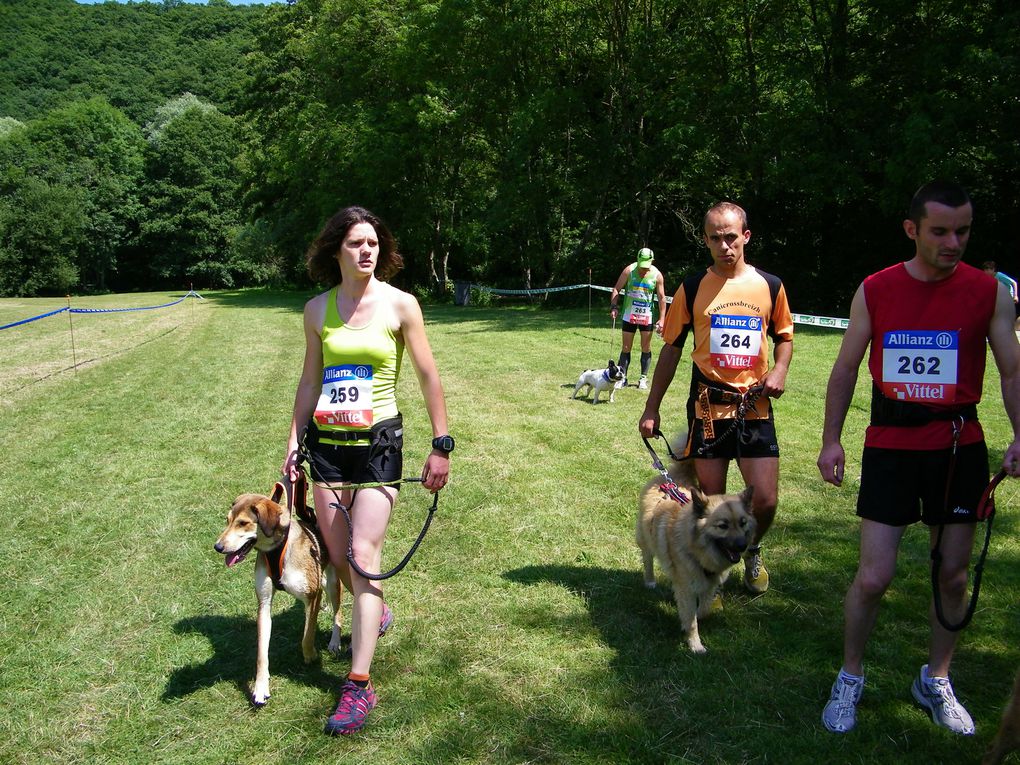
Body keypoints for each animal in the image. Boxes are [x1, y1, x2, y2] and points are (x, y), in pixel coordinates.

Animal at [215, 485, 342, 705]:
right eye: (227, 520)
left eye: (243, 523)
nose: (218, 547)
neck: (276, 549)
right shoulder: (264, 603)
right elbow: (261, 654)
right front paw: (260, 687)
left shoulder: (312, 596)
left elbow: (307, 635)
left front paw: (311, 656)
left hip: (334, 583)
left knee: (338, 613)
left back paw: (335, 642)